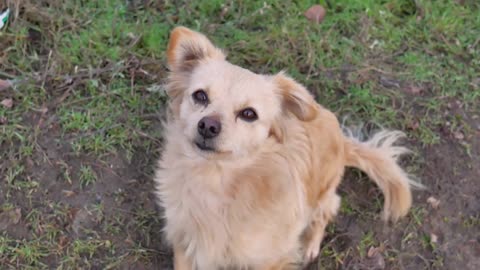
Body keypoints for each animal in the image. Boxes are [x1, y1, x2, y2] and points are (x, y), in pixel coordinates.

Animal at [153, 25, 416, 270]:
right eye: (200, 96)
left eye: (249, 114)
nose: (208, 126)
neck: (216, 180)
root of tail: (343, 142)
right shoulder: (185, 242)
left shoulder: (270, 258)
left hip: (322, 195)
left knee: (325, 213)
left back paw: (310, 245)